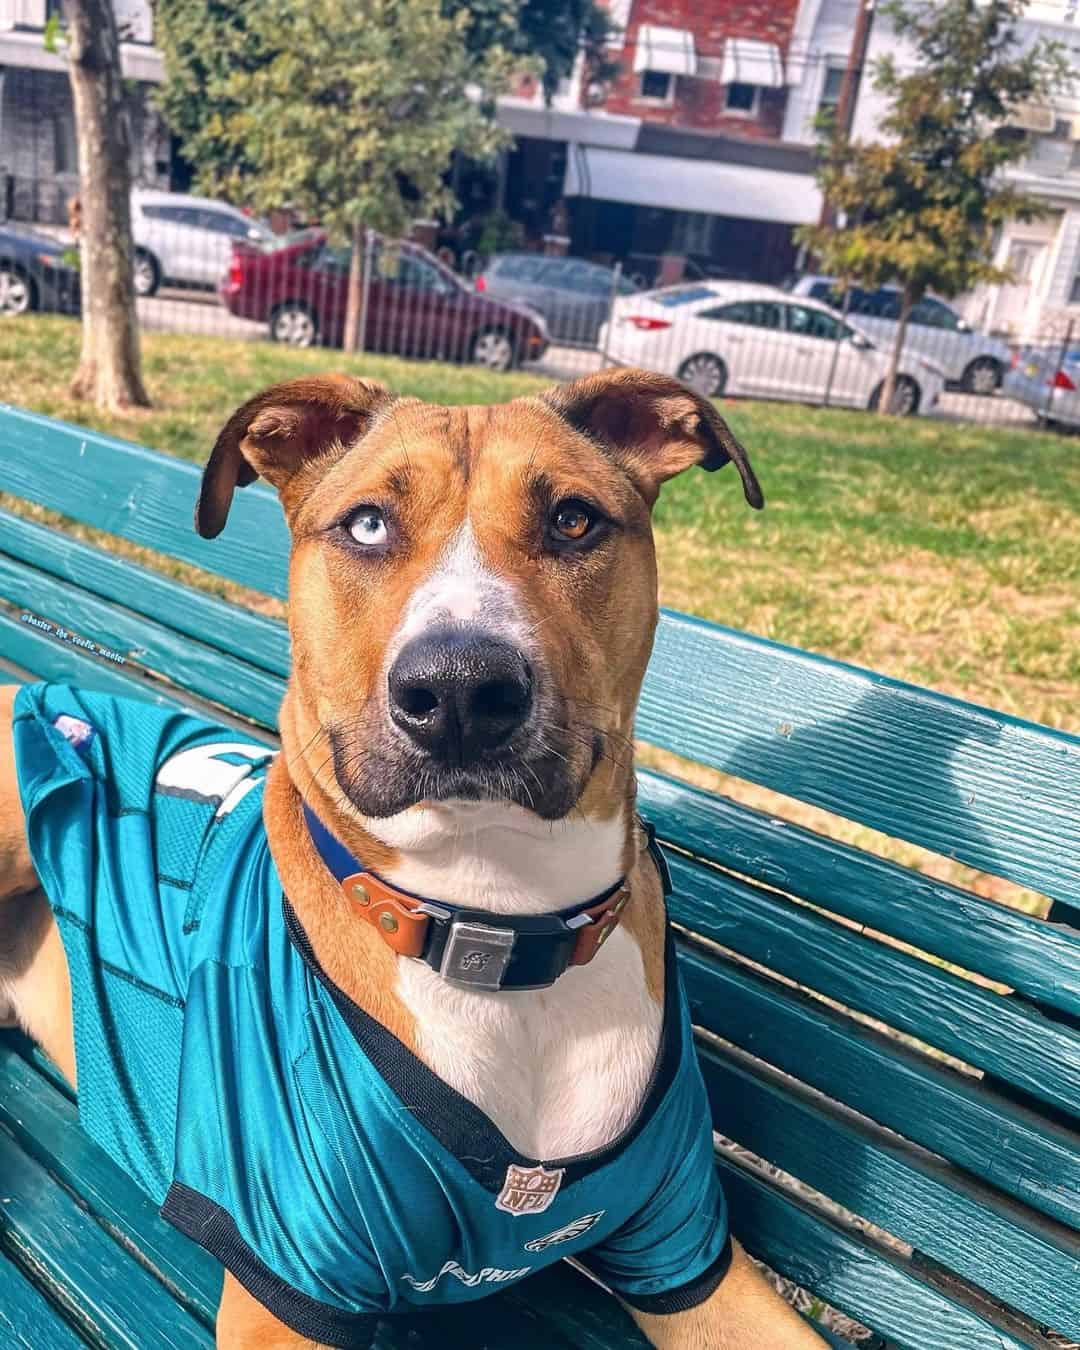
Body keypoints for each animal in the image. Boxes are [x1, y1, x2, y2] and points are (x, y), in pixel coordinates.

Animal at [2, 364, 826, 1344]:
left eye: (573, 520)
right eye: (367, 524)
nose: (461, 689)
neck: (496, 926)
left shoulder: (687, 1247)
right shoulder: (288, 1284)